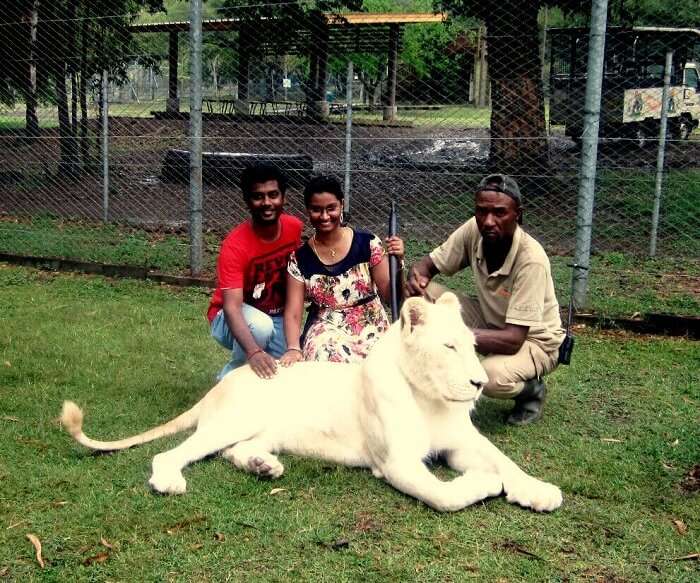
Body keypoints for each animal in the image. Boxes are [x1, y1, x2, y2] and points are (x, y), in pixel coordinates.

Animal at [61, 294, 564, 512]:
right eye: (449, 347)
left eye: (473, 346)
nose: (480, 383)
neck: (430, 398)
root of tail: (225, 383)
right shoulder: (395, 461)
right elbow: (444, 496)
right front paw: (483, 484)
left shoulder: (463, 440)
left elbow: (506, 461)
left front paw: (537, 490)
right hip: (233, 419)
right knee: (172, 454)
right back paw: (170, 481)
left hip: (258, 431)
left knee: (232, 452)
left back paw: (264, 466)